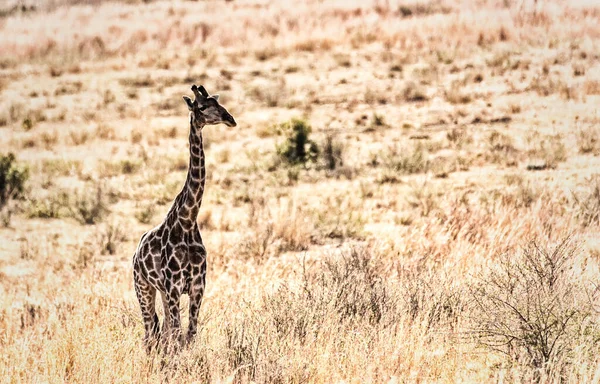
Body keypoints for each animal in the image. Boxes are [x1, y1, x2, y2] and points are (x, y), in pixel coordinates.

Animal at [132, 84, 236, 352]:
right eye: (202, 107)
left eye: (218, 102)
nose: (230, 118)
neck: (188, 220)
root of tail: (135, 253)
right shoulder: (174, 288)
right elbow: (179, 337)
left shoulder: (197, 287)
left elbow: (189, 335)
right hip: (143, 287)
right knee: (150, 333)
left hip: (160, 291)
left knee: (163, 332)